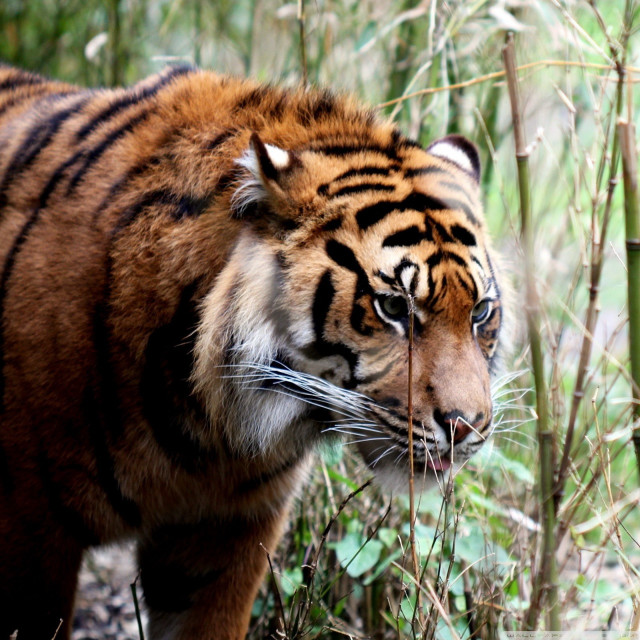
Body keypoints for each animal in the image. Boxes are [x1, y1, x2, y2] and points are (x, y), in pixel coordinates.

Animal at [0, 64, 503, 640]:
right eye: (394, 306)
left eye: (481, 312)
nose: (466, 427)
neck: (205, 427)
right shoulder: (31, 527)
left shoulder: (226, 532)